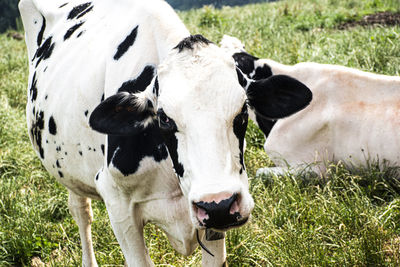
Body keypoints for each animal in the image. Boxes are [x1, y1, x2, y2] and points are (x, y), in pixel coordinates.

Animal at [18, 1, 312, 266]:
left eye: (242, 112)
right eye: (164, 119)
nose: (218, 204)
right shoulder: (117, 204)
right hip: (67, 171)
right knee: (81, 212)